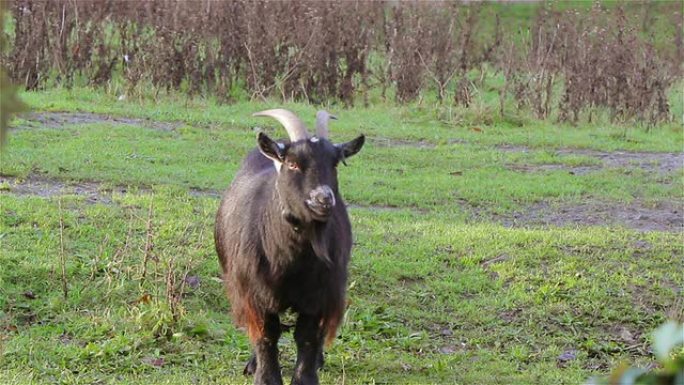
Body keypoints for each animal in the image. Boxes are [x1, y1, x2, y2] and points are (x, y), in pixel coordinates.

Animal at [214, 109, 364, 384]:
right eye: (293, 164)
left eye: (334, 164)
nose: (323, 199)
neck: (292, 260)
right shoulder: (254, 292)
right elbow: (266, 334)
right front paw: (265, 377)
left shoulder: (321, 293)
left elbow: (307, 337)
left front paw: (305, 377)